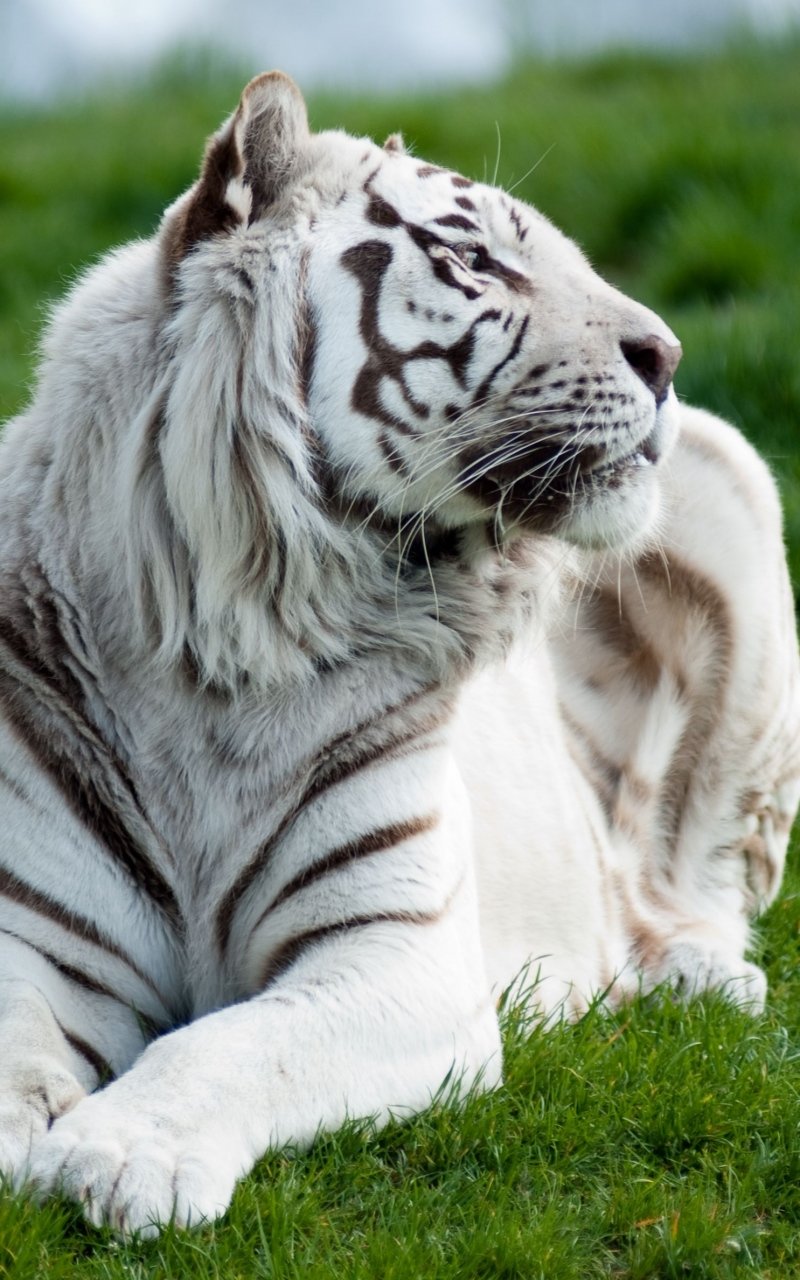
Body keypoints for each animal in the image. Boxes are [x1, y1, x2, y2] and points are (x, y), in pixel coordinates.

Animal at [1, 71, 798, 1238]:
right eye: (474, 258)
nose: (669, 358)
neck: (228, 653)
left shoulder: (398, 956)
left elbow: (230, 1044)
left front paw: (117, 1153)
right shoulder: (31, 932)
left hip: (727, 475)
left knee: (693, 882)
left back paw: (698, 977)